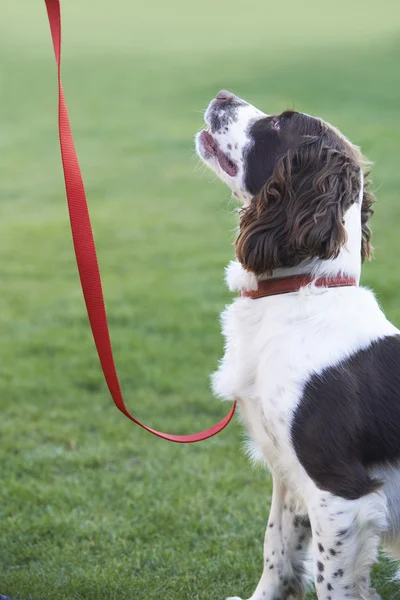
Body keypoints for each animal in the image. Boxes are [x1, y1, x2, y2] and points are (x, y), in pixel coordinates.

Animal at [195, 91, 400, 600]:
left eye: (279, 123)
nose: (223, 96)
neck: (299, 291)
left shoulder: (340, 493)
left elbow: (331, 581)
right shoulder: (289, 472)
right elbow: (278, 549)